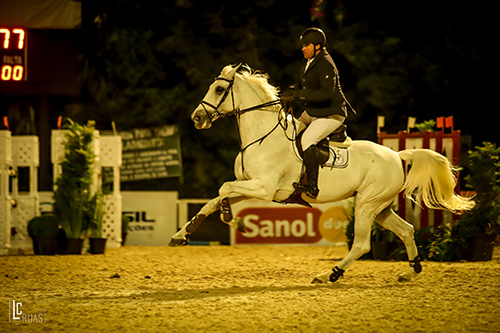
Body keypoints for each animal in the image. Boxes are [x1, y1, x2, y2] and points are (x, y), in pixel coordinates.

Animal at [170, 63, 474, 282]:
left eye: (220, 89)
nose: (197, 118)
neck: (261, 136)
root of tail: (397, 156)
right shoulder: (248, 184)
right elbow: (214, 200)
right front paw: (185, 233)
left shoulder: (262, 188)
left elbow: (222, 190)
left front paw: (236, 221)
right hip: (380, 207)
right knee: (407, 230)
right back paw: (410, 271)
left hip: (366, 205)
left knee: (362, 244)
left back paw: (329, 274)